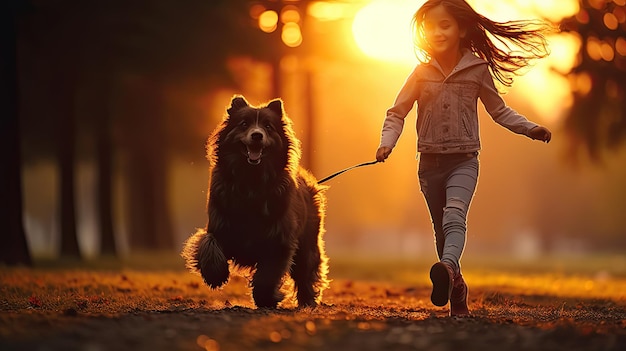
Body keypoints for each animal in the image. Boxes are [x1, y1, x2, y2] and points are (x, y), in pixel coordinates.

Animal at [179, 95, 326, 308]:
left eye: (268, 126)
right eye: (244, 124)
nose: (257, 135)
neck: (251, 181)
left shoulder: (279, 240)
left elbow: (267, 275)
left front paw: (268, 298)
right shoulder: (220, 226)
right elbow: (208, 243)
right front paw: (215, 275)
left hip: (308, 242)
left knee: (307, 271)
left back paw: (308, 301)